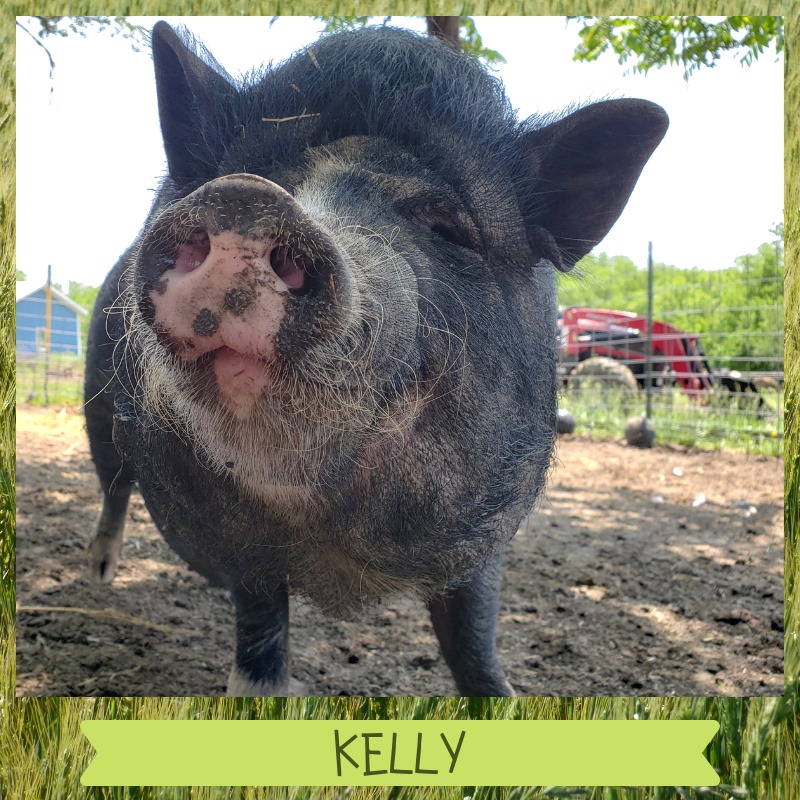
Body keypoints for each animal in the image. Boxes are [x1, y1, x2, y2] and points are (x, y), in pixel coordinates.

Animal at [84, 21, 667, 696]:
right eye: (259, 174)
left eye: (447, 226)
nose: (245, 198)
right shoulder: (246, 551)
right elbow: (261, 635)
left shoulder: (490, 527)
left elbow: (474, 644)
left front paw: (505, 694)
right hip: (98, 408)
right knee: (113, 486)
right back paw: (97, 576)